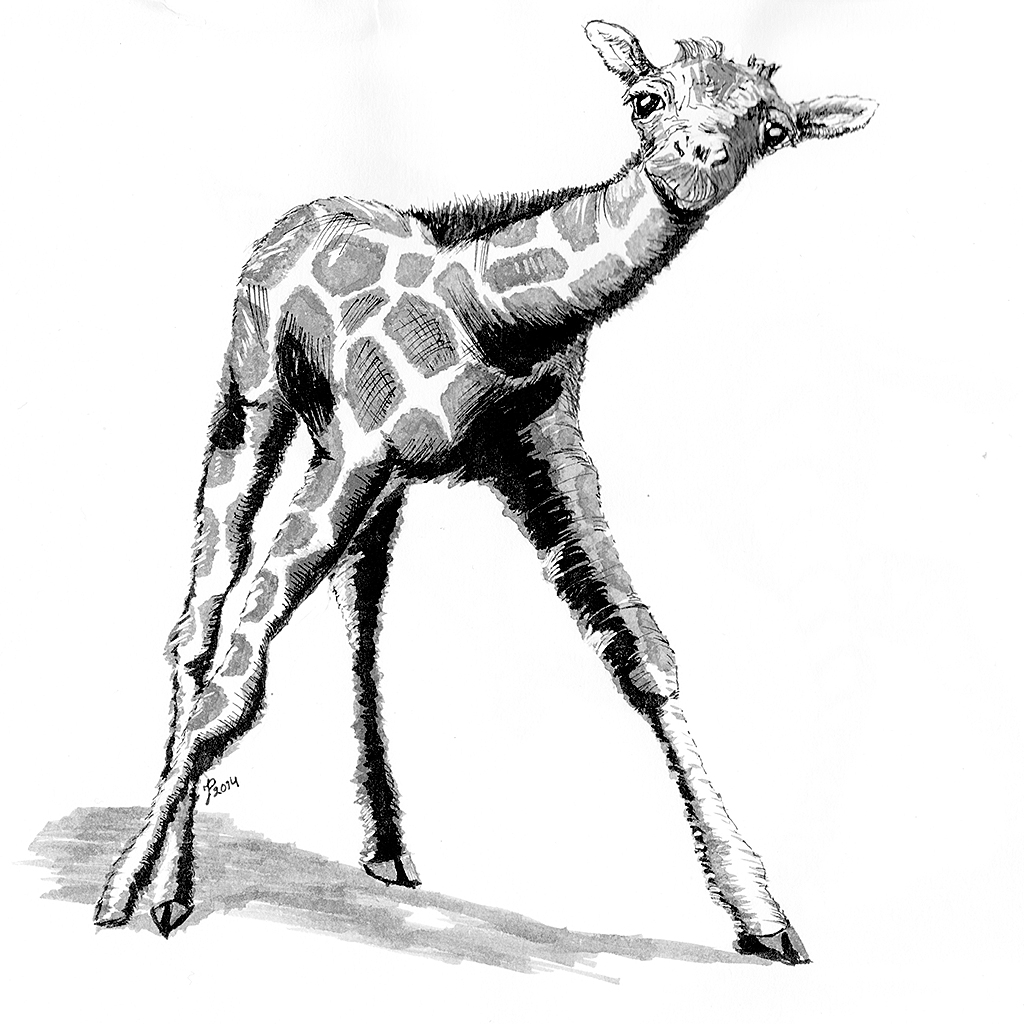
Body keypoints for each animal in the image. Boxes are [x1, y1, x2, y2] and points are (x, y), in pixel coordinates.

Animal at [94, 21, 876, 964]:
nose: (694, 159)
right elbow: (237, 682)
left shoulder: (546, 461)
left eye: (769, 125)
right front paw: (122, 891)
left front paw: (762, 917)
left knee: (357, 621)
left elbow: (644, 657)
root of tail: (297, 218)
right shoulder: (358, 450)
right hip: (256, 402)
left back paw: (386, 848)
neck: (499, 317)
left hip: (373, 482)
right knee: (203, 618)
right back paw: (170, 888)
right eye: (646, 98)